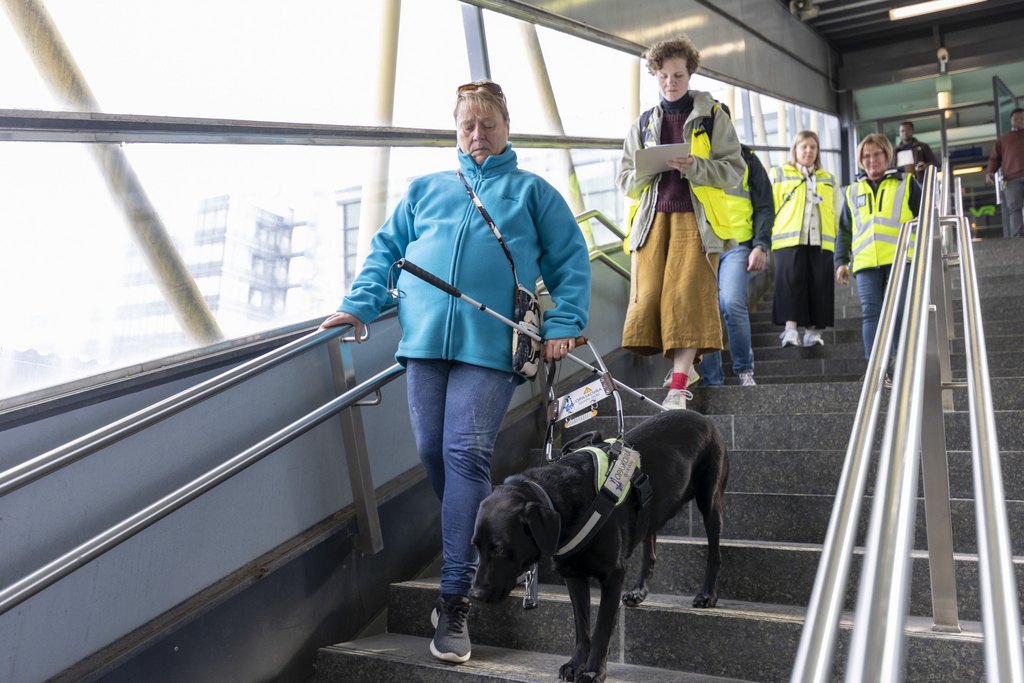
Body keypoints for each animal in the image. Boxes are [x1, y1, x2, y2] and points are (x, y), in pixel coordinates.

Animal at [471, 409, 729, 683]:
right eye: (475, 547)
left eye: (499, 549)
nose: (474, 595)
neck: (559, 500)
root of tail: (702, 417)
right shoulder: (573, 576)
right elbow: (582, 626)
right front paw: (576, 664)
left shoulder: (612, 575)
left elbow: (602, 629)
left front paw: (594, 670)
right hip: (651, 509)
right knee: (650, 551)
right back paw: (639, 591)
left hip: (710, 501)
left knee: (714, 552)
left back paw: (707, 594)